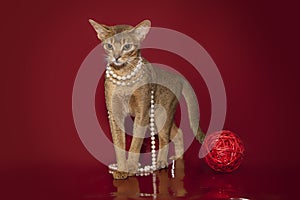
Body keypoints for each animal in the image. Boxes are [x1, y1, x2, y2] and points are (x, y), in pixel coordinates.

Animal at [89, 19, 205, 180]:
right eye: (109, 46)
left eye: (127, 46)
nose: (116, 57)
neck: (124, 76)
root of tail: (177, 76)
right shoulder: (114, 114)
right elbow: (119, 145)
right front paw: (122, 170)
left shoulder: (142, 113)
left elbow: (136, 143)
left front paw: (131, 168)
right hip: (157, 118)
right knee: (178, 133)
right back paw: (178, 158)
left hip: (161, 115)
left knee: (164, 138)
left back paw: (161, 162)